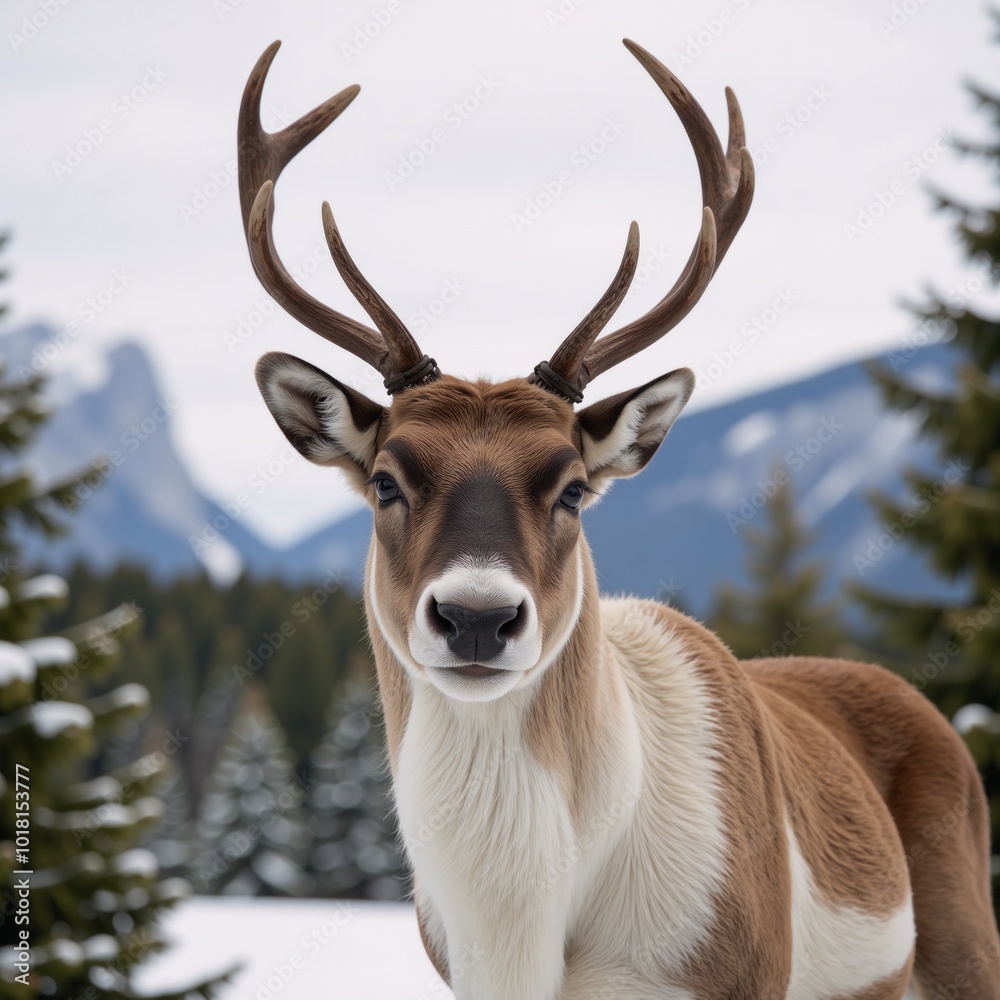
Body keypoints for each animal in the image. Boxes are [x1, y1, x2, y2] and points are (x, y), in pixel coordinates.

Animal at [237, 39, 1000, 1000]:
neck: (529, 939)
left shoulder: (738, 974)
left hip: (966, 943)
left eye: (571, 487)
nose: (478, 616)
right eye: (384, 481)